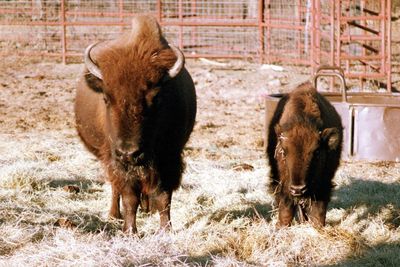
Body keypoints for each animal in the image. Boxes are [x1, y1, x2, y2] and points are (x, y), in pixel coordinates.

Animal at [74, 15, 197, 233]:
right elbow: (129, 197)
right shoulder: (119, 162)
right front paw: (130, 231)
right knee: (115, 188)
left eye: (156, 98)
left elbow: (164, 196)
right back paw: (114, 215)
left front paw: (166, 230)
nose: (129, 153)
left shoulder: (169, 157)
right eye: (106, 98)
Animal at [268, 82, 342, 228]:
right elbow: (286, 207)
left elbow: (318, 209)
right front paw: (282, 226)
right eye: (283, 151)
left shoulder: (323, 183)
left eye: (317, 152)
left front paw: (317, 227)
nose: (298, 189)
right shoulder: (284, 183)